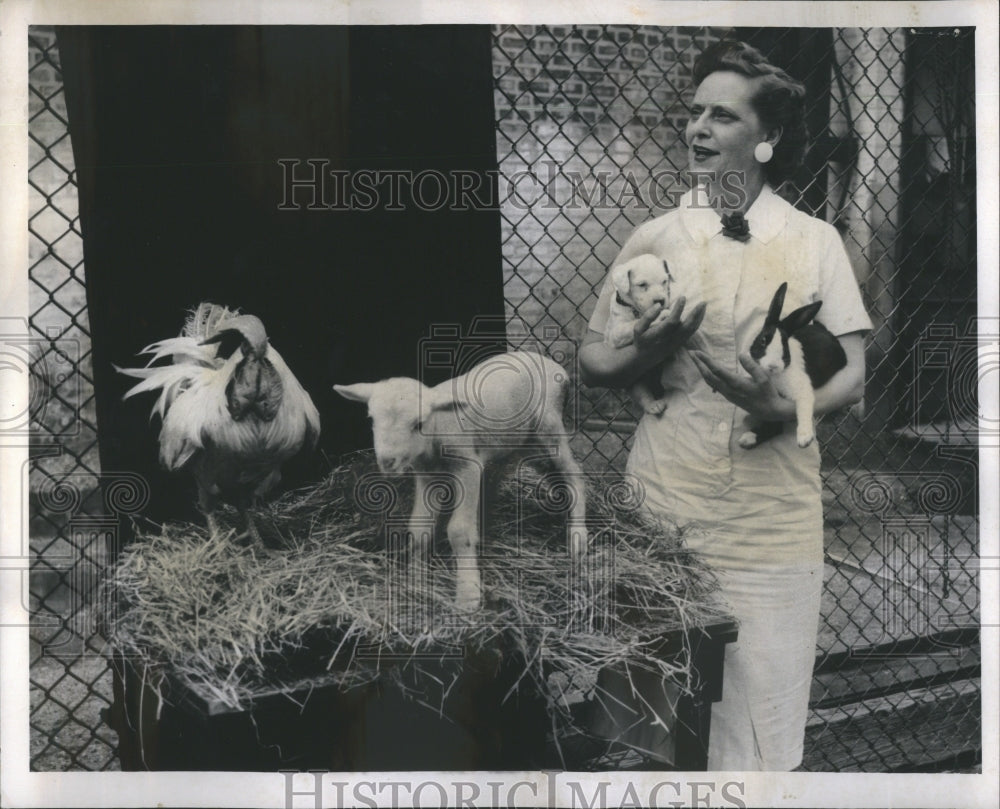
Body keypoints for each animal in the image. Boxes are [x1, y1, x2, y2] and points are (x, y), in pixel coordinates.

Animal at [604, 254, 676, 416]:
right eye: (642, 284)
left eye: (664, 281)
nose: (660, 301)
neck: (635, 309)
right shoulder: (617, 333)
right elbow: (634, 324)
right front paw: (660, 316)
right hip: (632, 378)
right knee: (642, 392)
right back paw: (653, 405)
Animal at [740, 282, 848, 448]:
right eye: (763, 340)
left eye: (785, 346)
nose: (773, 365)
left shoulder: (802, 389)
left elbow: (803, 407)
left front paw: (804, 438)